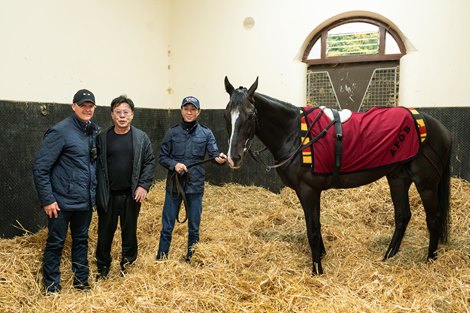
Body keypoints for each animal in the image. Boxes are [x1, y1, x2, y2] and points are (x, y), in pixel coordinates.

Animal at [224, 77, 452, 274]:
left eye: (250, 115)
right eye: (226, 115)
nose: (233, 157)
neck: (296, 133)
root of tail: (439, 127)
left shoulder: (308, 190)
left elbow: (312, 229)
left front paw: (317, 269)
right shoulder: (308, 192)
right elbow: (316, 225)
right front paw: (322, 256)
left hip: (426, 184)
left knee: (433, 218)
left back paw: (430, 259)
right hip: (398, 178)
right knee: (402, 216)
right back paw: (389, 256)